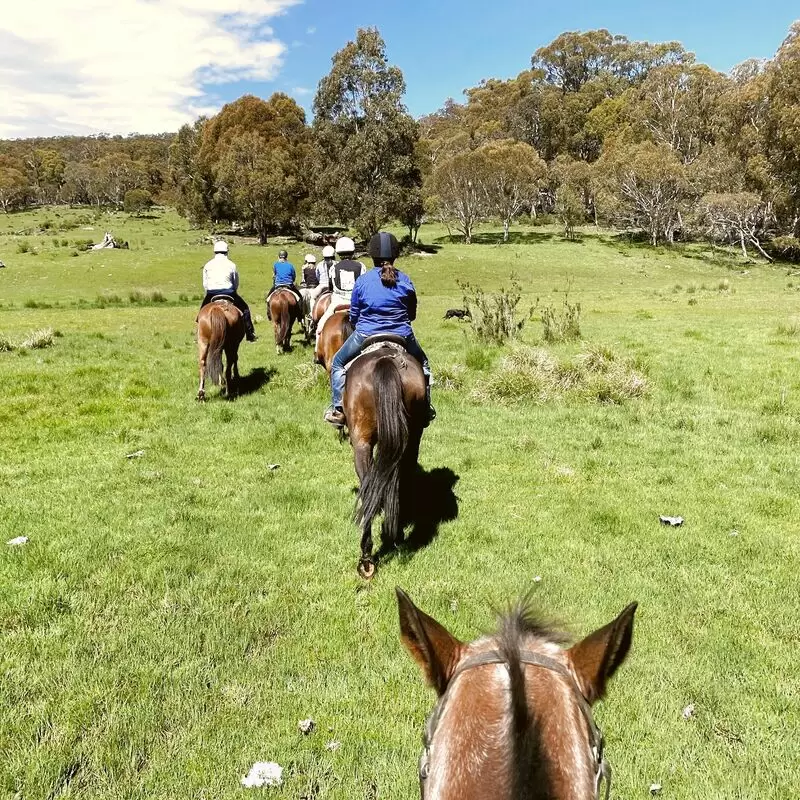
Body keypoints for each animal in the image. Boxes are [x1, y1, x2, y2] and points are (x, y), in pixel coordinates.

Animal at [346, 340, 428, 580]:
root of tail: (385, 360)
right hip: (411, 436)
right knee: (399, 478)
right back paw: (395, 534)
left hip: (361, 442)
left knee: (367, 488)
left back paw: (366, 559)